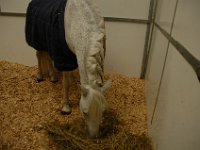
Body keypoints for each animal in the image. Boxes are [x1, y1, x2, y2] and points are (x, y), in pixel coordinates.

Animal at [25, 0, 111, 138]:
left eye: (103, 111)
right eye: (85, 112)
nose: (93, 137)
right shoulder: (64, 57)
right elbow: (66, 83)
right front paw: (65, 108)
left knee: (47, 55)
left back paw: (53, 77)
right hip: (37, 40)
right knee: (39, 54)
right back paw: (39, 76)